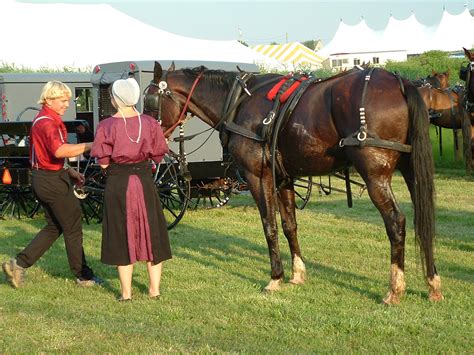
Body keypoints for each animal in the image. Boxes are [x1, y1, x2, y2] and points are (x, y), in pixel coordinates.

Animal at [145, 60, 444, 304]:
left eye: (150, 101)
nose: (149, 135)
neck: (238, 102)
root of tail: (400, 82)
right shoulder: (283, 179)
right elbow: (290, 226)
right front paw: (297, 273)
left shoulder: (258, 177)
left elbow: (270, 226)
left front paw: (275, 277)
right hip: (410, 170)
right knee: (423, 219)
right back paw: (432, 283)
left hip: (375, 175)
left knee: (396, 222)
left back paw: (395, 288)